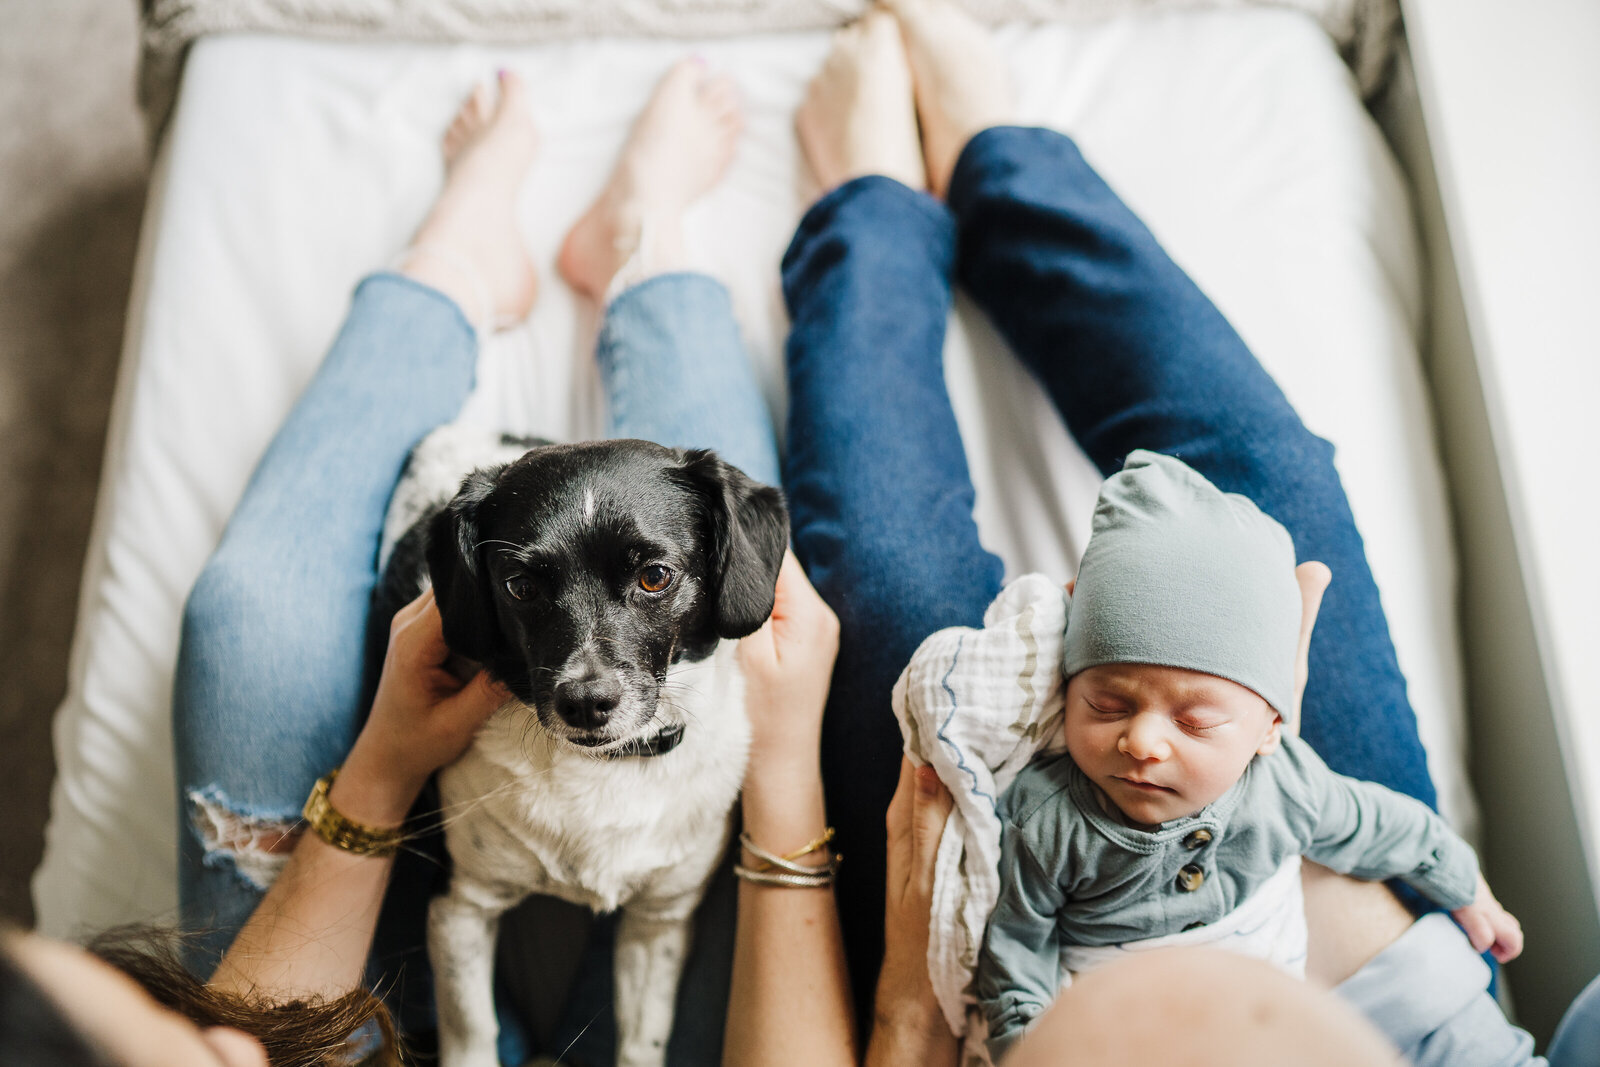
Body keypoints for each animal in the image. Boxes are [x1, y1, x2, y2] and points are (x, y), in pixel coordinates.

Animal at [382, 425, 793, 1067]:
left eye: (655, 575)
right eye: (521, 586)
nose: (585, 701)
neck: (603, 769)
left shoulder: (659, 922)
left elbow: (642, 1042)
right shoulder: (461, 904)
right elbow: (471, 1031)